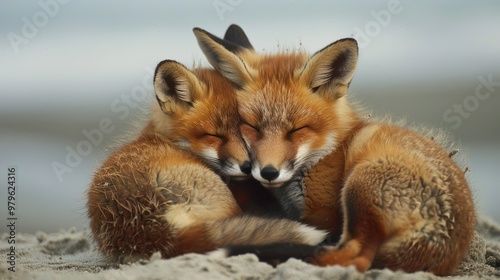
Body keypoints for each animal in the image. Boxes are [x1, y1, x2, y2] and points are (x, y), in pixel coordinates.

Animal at [192, 26, 476, 276]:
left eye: (297, 130)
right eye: (251, 126)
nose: (268, 172)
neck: (326, 150)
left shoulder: (322, 213)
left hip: (359, 185)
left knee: (355, 257)